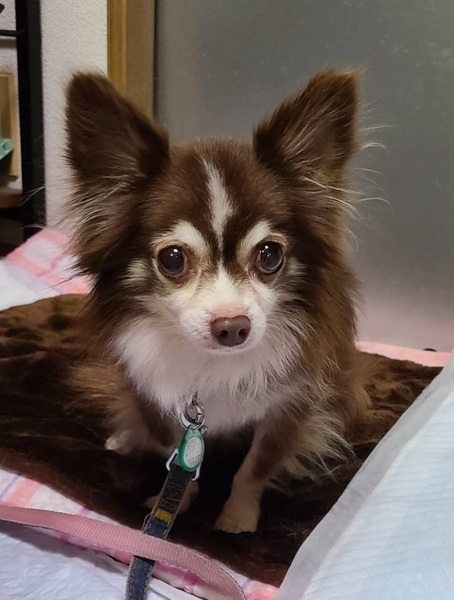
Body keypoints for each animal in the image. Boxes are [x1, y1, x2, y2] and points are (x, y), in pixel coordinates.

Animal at [64, 69, 370, 534]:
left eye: (270, 255)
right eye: (172, 259)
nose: (232, 326)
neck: (212, 365)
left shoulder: (292, 404)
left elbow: (255, 467)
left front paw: (237, 519)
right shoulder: (155, 397)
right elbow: (176, 453)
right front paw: (178, 498)